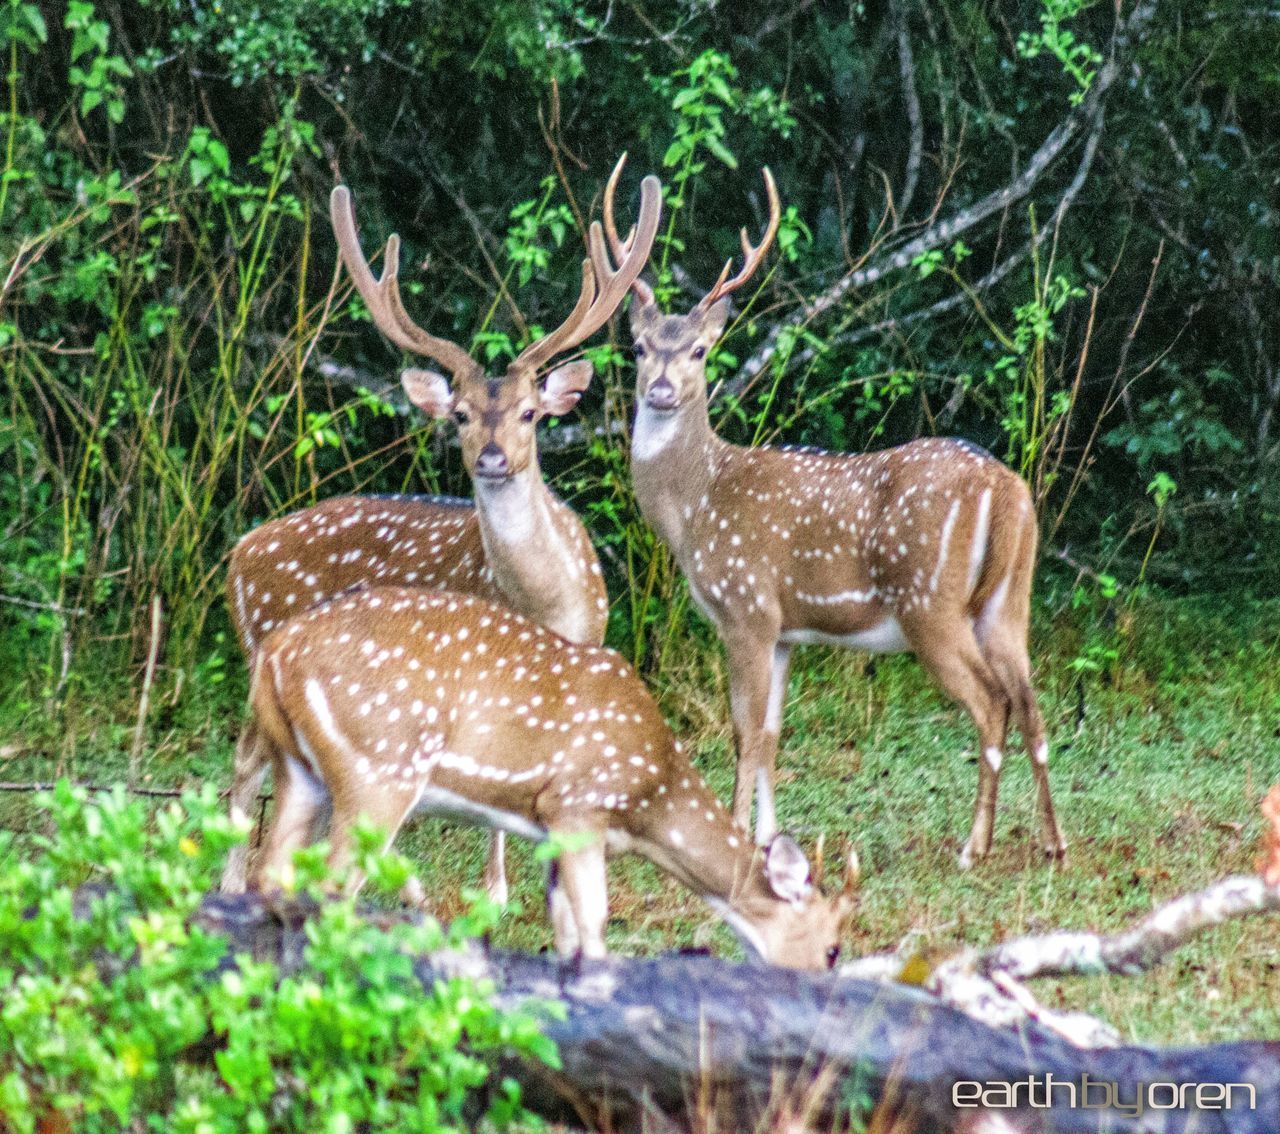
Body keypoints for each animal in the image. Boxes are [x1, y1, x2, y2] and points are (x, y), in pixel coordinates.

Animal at [220, 163, 660, 901]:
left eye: (532, 413)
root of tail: (236, 555)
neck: (552, 603)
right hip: (269, 653)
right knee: (244, 766)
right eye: (459, 414)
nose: (492, 457)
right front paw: (496, 889)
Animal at [247, 586, 860, 967]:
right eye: (832, 947)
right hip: (380, 766)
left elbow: (564, 929)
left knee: (271, 875)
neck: (648, 799)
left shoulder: (549, 824)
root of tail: (275, 652)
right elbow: (594, 925)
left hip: (299, 770)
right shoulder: (578, 803)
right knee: (331, 888)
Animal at [604, 157, 1064, 870]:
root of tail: (1006, 488)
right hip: (1009, 599)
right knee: (1031, 701)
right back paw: (1051, 842)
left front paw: (738, 840)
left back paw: (973, 847)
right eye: (639, 347)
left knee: (992, 704)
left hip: (928, 599)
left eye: (700, 351)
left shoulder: (747, 608)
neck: (696, 508)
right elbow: (772, 731)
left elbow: (744, 732)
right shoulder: (788, 630)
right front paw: (769, 838)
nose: (659, 390)